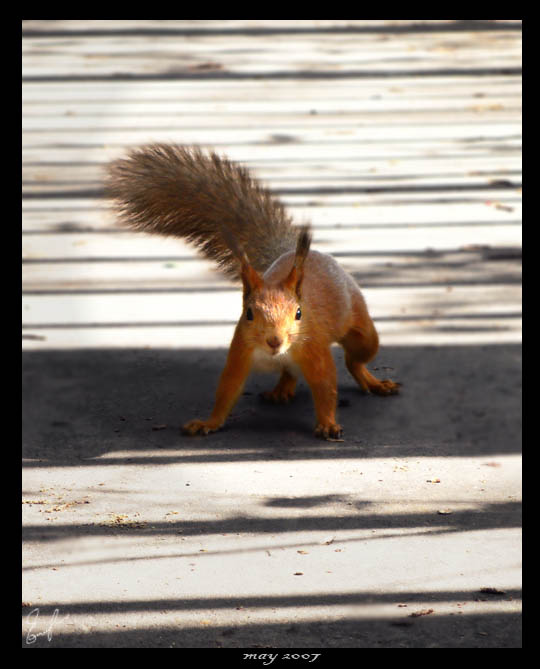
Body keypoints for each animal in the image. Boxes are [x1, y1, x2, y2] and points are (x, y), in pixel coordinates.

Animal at [106, 143, 400, 439]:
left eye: (299, 313)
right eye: (248, 314)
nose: (274, 340)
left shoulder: (313, 348)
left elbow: (325, 386)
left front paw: (327, 424)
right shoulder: (240, 350)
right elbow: (228, 389)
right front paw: (208, 423)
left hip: (360, 327)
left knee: (356, 359)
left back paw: (373, 382)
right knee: (292, 372)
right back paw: (282, 390)